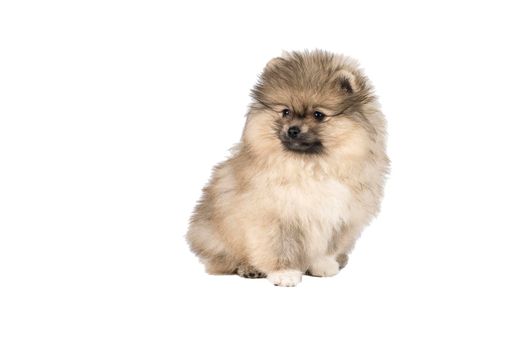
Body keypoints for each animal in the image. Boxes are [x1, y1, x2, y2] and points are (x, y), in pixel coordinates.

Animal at [186, 50, 386, 286]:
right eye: (286, 112)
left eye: (318, 115)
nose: (293, 130)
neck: (311, 165)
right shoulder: (275, 215)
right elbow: (278, 247)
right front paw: (284, 273)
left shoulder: (339, 217)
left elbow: (327, 246)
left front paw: (323, 265)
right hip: (214, 235)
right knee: (225, 259)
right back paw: (249, 268)